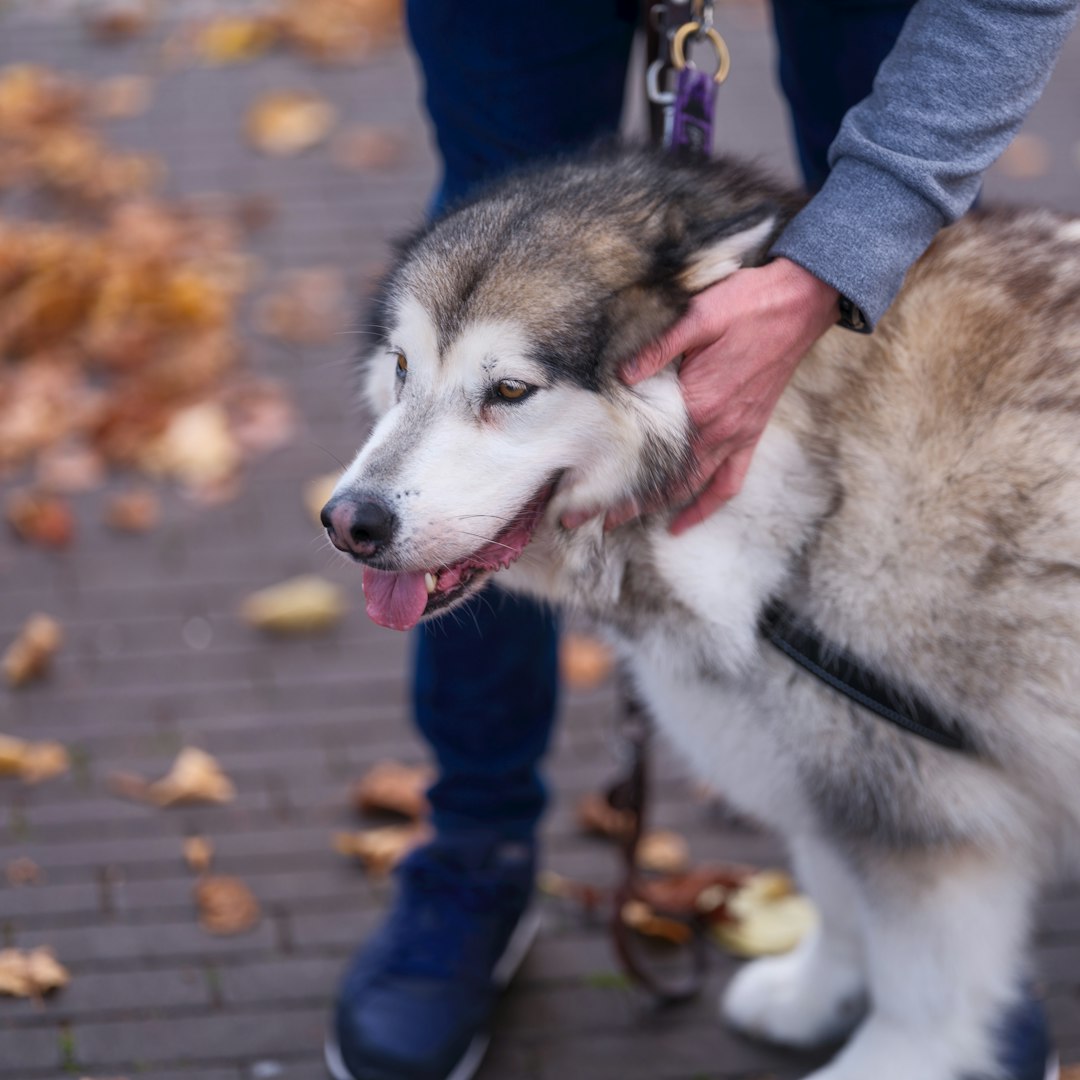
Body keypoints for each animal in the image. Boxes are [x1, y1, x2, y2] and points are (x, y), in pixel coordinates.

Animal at [321, 145, 1080, 1080]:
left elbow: (922, 999)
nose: (348, 522)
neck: (803, 469)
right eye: (401, 368)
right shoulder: (814, 763)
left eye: (509, 389)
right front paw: (811, 995)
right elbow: (838, 902)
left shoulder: (925, 808)